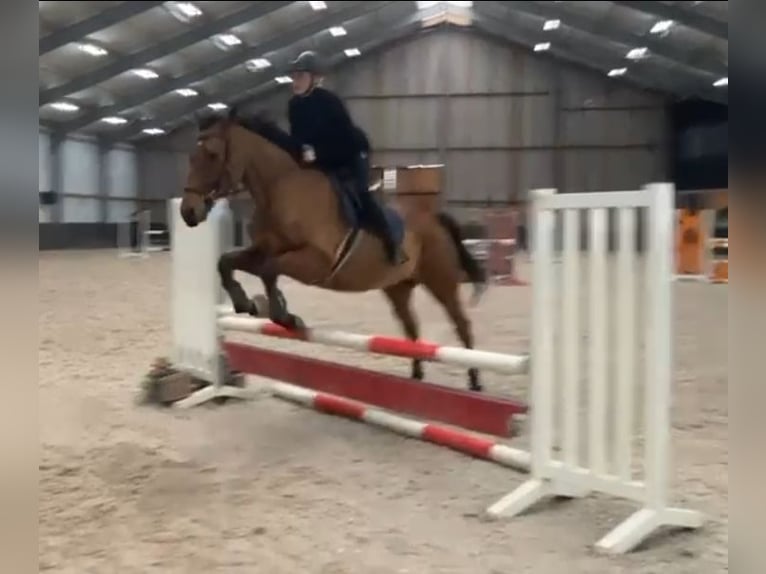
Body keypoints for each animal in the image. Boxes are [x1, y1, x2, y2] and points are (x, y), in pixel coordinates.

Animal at [179, 110, 489, 391]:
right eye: (191, 157)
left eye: (212, 155)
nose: (188, 213)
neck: (279, 191)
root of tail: (434, 218)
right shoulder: (263, 250)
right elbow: (227, 262)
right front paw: (247, 303)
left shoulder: (316, 261)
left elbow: (269, 269)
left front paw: (282, 315)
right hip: (397, 287)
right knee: (411, 327)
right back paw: (416, 376)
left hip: (441, 281)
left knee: (461, 324)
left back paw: (474, 380)